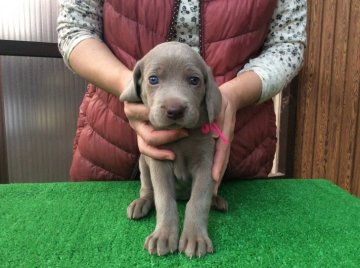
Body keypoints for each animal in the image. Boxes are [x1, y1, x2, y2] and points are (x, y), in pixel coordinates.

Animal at [121, 41, 228, 258]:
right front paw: (162, 235)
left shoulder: (206, 164)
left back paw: (217, 200)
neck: (181, 138)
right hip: (143, 162)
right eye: (153, 79)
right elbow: (164, 199)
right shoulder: (159, 161)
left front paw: (195, 237)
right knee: (148, 189)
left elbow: (198, 200)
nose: (175, 110)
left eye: (194, 80)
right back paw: (141, 203)